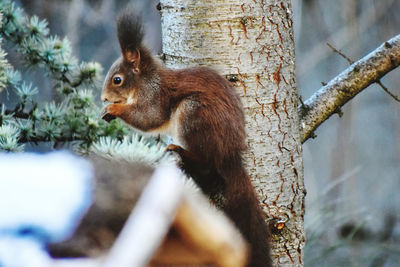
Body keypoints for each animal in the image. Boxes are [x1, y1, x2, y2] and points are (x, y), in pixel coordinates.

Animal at [101, 7, 274, 267]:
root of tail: (230, 154)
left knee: (207, 160)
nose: (103, 98)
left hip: (192, 113)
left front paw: (113, 109)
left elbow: (149, 118)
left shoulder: (155, 96)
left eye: (117, 79)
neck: (146, 81)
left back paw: (181, 151)